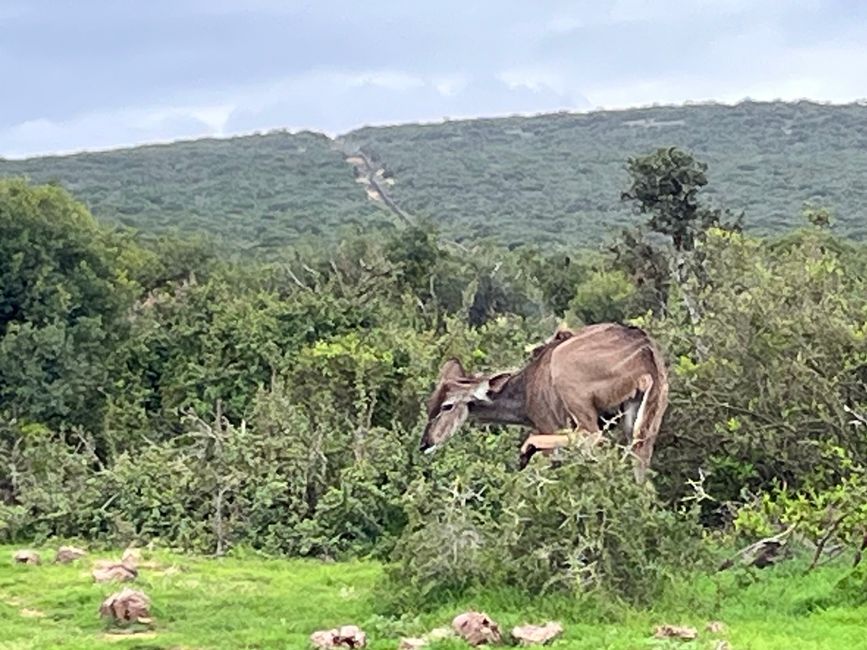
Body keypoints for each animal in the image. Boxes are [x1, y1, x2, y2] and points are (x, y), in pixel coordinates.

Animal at [420, 320, 672, 480]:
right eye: (430, 405)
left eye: (447, 406)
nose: (425, 443)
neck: (527, 387)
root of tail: (646, 350)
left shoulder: (548, 425)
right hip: (642, 418)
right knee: (639, 458)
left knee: (591, 437)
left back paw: (527, 448)